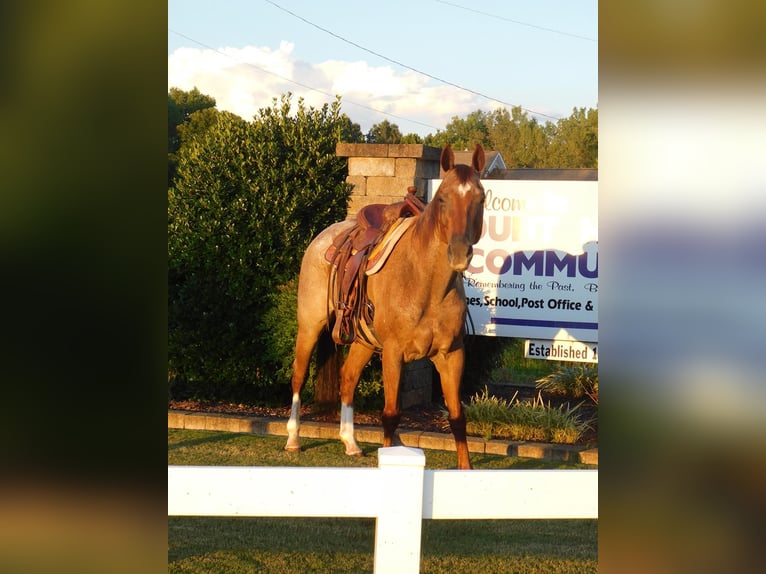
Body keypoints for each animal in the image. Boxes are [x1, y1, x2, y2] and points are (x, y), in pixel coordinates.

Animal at [284, 143, 484, 468]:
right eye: (442, 198)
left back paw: (350, 442)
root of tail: (321, 238)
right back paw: (293, 439)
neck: (425, 284)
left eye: (480, 198)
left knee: (348, 377)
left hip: (364, 342)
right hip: (310, 325)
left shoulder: (451, 354)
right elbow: (390, 415)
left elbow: (457, 417)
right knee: (298, 375)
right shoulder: (393, 353)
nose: (458, 252)